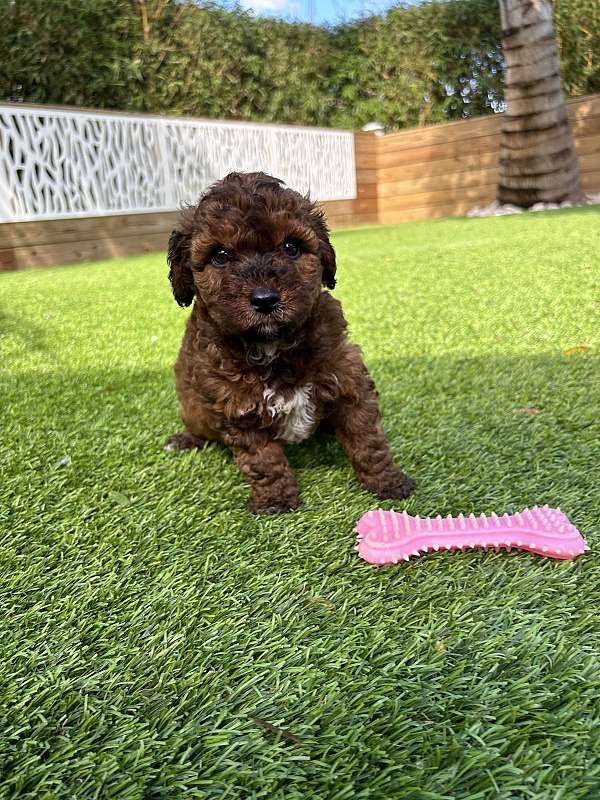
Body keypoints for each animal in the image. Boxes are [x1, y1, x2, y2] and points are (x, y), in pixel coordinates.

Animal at [166, 172, 414, 516]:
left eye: (291, 247)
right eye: (220, 255)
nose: (265, 299)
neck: (273, 347)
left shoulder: (348, 380)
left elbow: (368, 440)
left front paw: (387, 481)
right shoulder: (237, 407)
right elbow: (262, 460)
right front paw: (276, 499)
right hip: (193, 408)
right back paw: (185, 440)